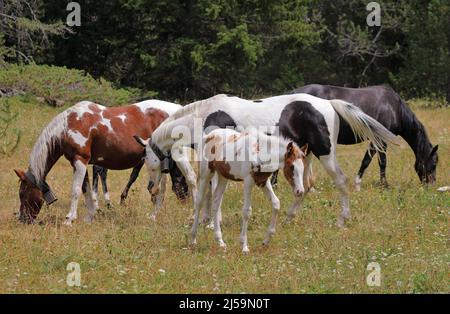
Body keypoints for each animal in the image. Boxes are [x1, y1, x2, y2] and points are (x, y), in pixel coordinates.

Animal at [12, 100, 188, 223]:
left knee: (167, 189)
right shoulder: (80, 162)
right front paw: (90, 216)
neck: (69, 125)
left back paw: (155, 215)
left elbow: (76, 190)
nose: (23, 219)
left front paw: (69, 219)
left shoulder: (80, 160)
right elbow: (86, 190)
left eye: (22, 193)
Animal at [137, 92, 398, 227]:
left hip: (325, 154)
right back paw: (289, 218)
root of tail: (328, 104)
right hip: (305, 157)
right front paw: (205, 219)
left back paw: (343, 219)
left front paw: (209, 221)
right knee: (305, 187)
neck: (205, 116)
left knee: (341, 182)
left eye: (148, 161)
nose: (151, 188)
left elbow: (211, 191)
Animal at [268, 83, 438, 190]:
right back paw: (275, 184)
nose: (431, 185)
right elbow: (375, 161)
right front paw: (378, 184)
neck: (394, 108)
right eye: (434, 163)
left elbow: (373, 161)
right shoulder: (379, 140)